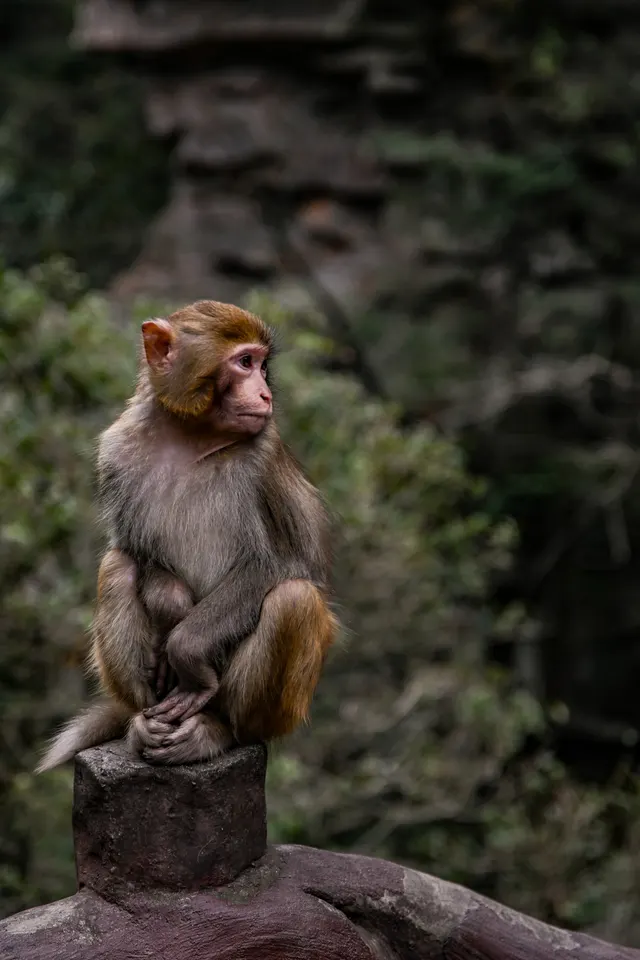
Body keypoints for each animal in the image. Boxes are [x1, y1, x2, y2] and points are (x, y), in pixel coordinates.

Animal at [36, 300, 339, 770]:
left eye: (262, 366)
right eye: (245, 362)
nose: (265, 395)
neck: (191, 438)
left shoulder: (267, 455)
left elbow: (292, 562)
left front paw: (185, 649)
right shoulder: (115, 451)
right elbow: (134, 550)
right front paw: (171, 604)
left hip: (273, 710)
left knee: (294, 600)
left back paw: (219, 732)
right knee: (117, 567)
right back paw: (142, 723)